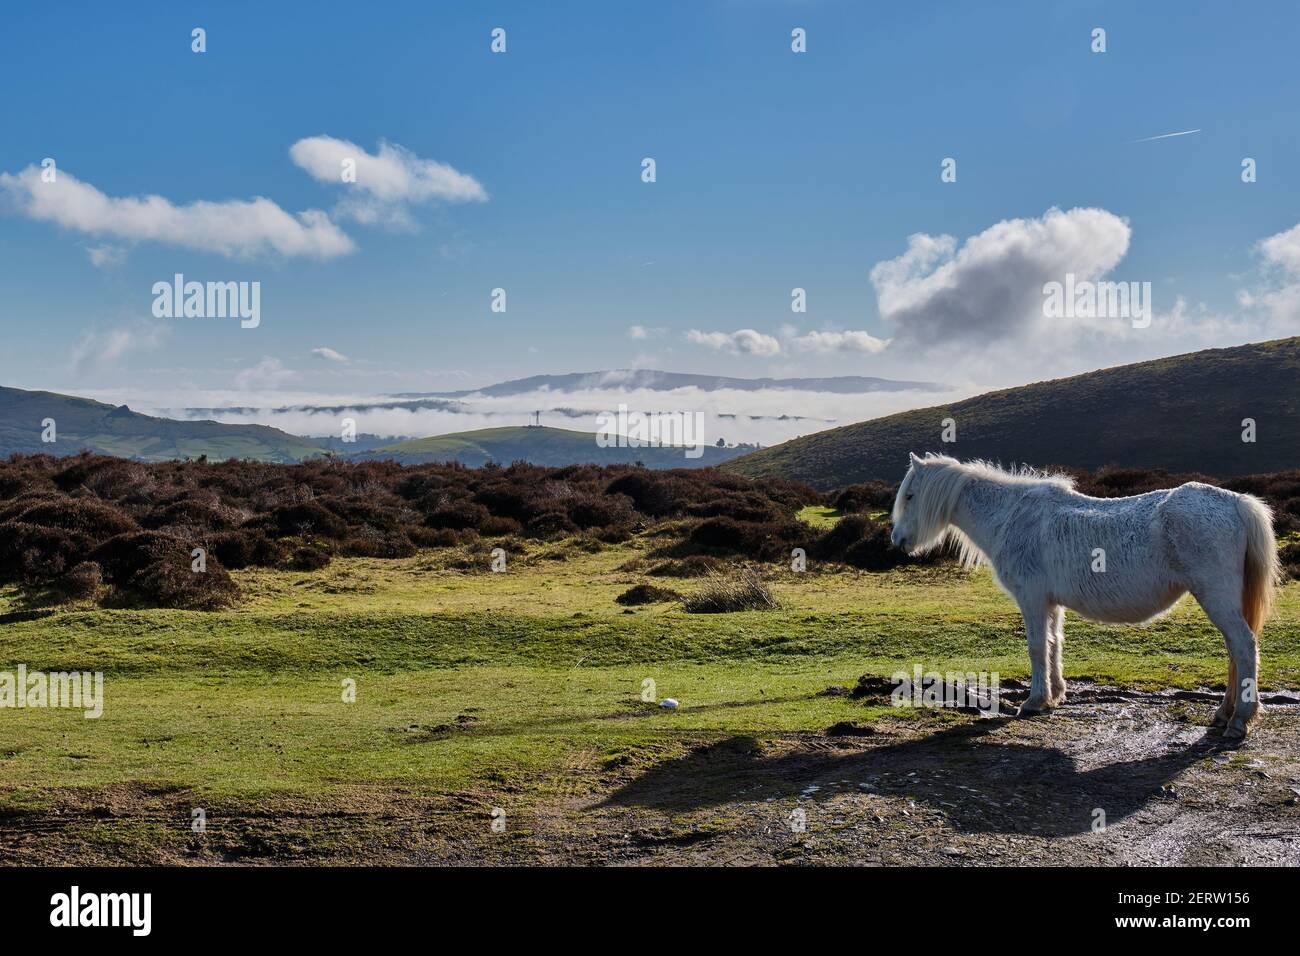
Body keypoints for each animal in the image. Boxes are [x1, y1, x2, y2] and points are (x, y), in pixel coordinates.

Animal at [894, 452, 1279, 738]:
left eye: (910, 496)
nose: (897, 540)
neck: (1012, 516)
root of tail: (1236, 502)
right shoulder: (1051, 604)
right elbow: (1054, 645)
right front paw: (1055, 695)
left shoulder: (1032, 599)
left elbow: (1037, 647)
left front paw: (1034, 701)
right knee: (1235, 650)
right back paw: (1224, 713)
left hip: (1216, 597)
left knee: (1243, 646)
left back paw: (1239, 720)